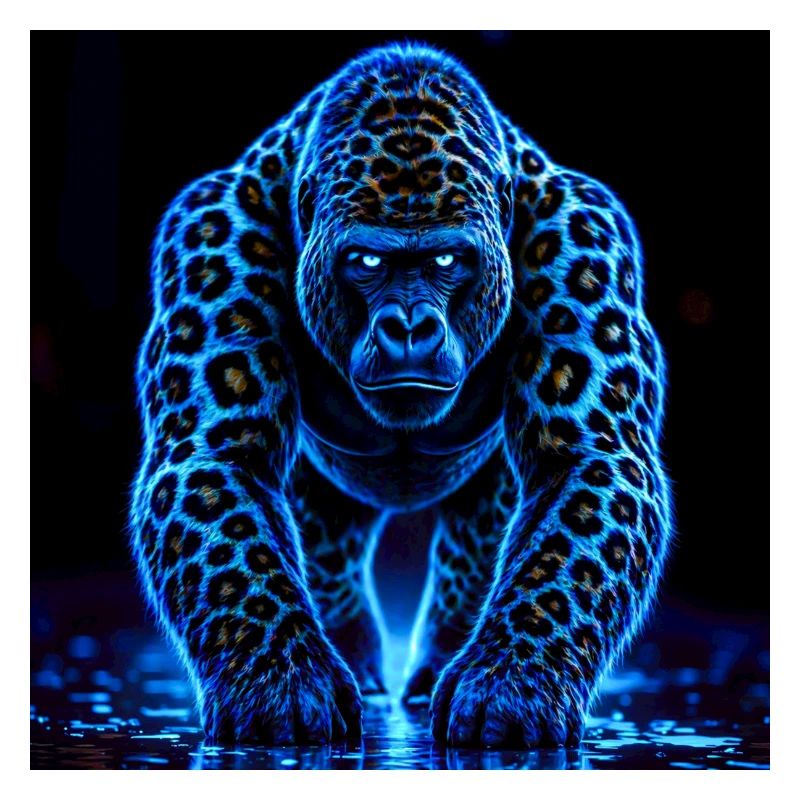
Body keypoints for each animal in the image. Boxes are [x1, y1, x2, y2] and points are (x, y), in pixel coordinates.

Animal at [129, 41, 671, 748]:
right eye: (367, 262)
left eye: (445, 261)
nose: (409, 326)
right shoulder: (212, 236)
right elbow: (225, 497)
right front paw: (281, 682)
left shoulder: (586, 241)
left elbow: (577, 491)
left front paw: (511, 683)